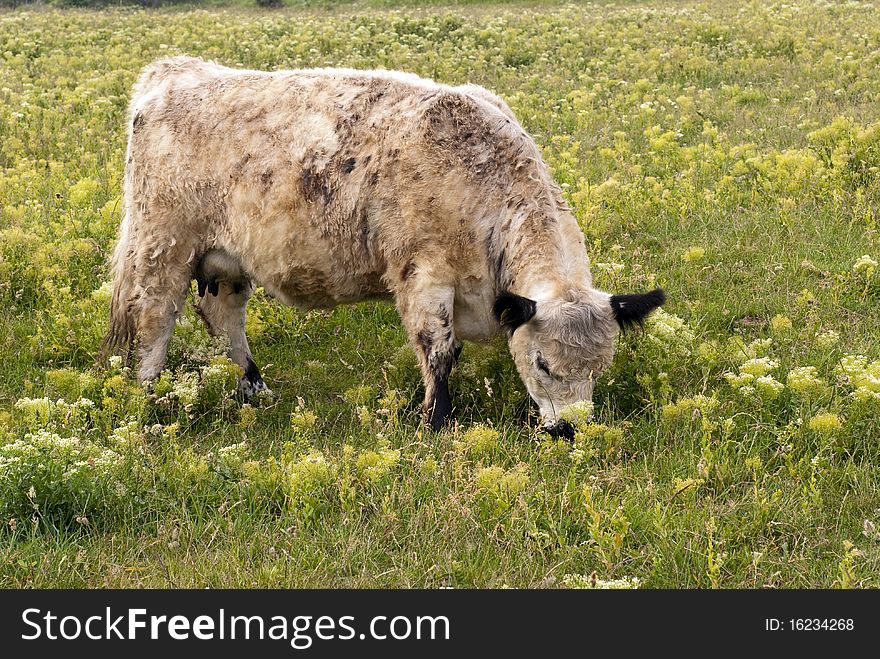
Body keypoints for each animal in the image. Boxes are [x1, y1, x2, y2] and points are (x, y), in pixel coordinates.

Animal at [99, 56, 664, 438]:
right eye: (544, 365)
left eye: (600, 367)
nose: (571, 429)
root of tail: (175, 70)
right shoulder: (423, 275)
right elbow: (439, 351)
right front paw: (434, 422)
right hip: (162, 245)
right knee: (154, 317)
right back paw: (151, 398)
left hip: (227, 261)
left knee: (223, 316)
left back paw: (254, 388)